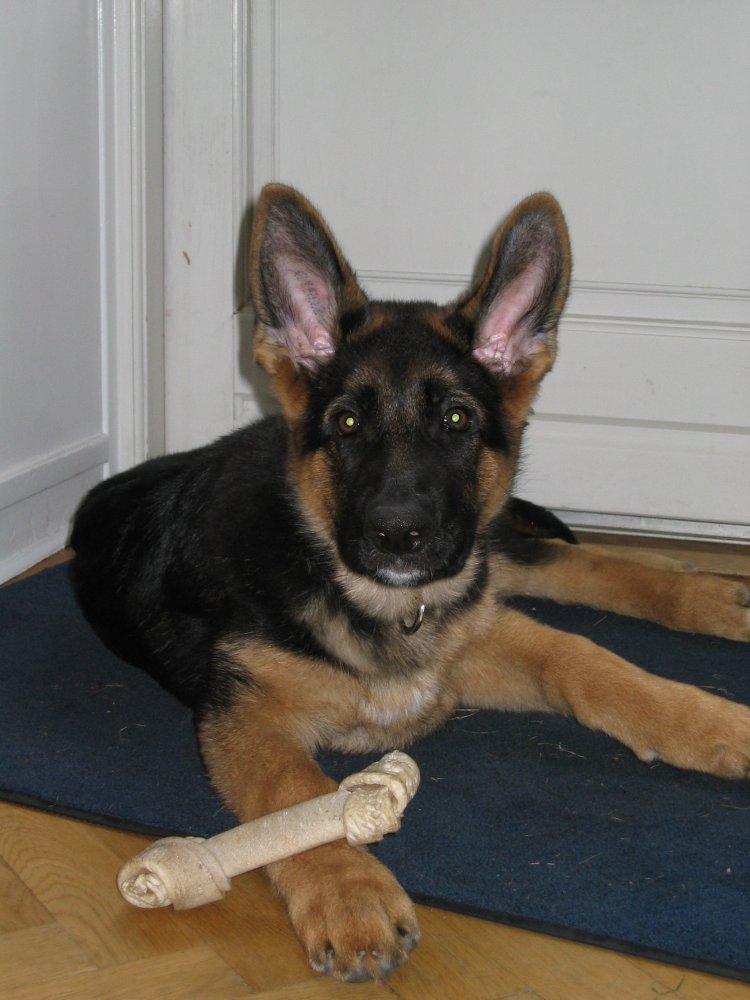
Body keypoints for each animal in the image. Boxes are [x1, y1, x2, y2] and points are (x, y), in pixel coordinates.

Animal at [71, 184, 750, 982]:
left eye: (456, 419)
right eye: (346, 424)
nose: (397, 536)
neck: (383, 602)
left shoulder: (476, 629)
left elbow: (593, 661)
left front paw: (711, 723)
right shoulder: (246, 716)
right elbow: (294, 797)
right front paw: (351, 896)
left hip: (473, 551)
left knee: (554, 557)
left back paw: (709, 592)